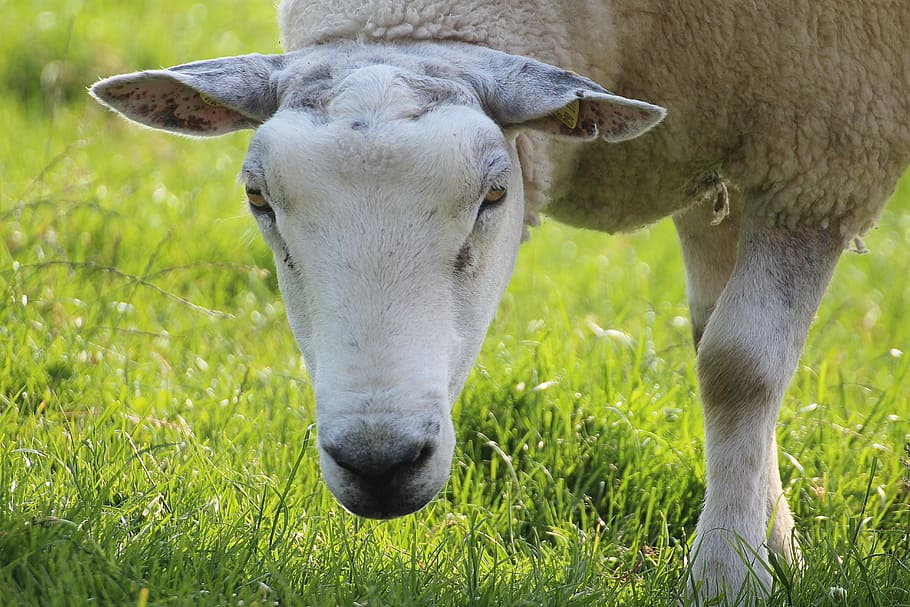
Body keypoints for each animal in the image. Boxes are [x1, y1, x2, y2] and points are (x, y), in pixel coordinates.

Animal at [89, 1, 910, 604]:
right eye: (258, 198)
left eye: (493, 195)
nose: (379, 461)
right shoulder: (721, 146)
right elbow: (715, 335)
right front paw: (773, 547)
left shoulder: (823, 147)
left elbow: (738, 364)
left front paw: (728, 574)